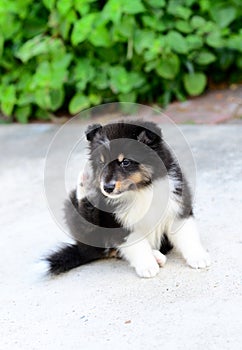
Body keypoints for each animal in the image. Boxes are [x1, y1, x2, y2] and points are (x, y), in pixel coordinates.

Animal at [45, 121, 210, 278]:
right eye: (101, 162)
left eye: (125, 162)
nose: (107, 188)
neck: (141, 190)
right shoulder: (118, 224)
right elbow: (137, 245)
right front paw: (147, 266)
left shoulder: (177, 205)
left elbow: (186, 233)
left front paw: (198, 257)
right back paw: (86, 186)